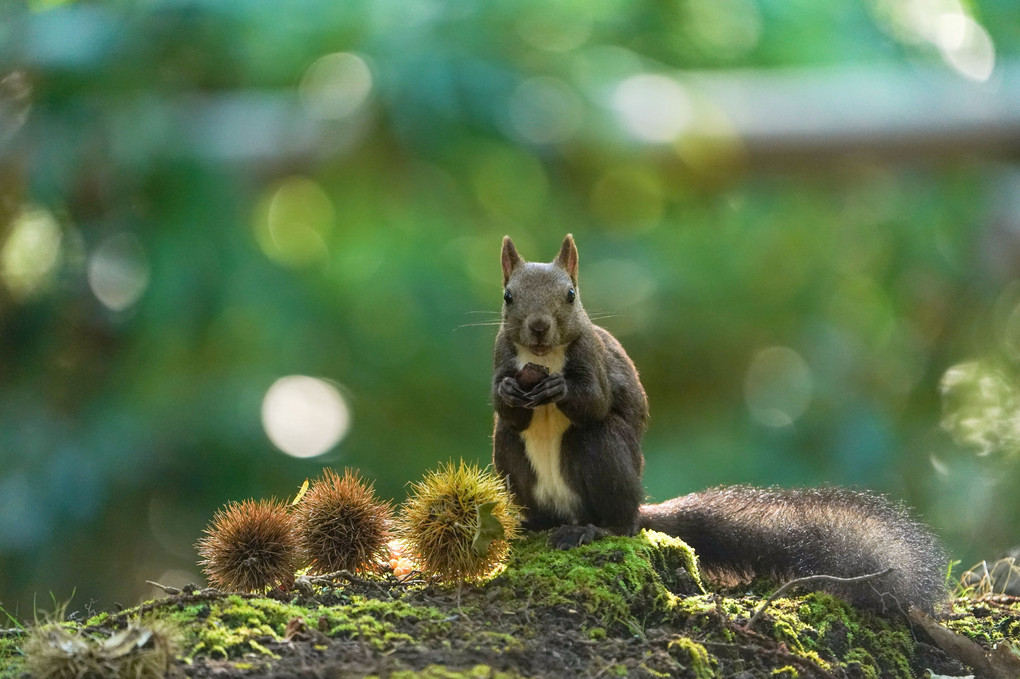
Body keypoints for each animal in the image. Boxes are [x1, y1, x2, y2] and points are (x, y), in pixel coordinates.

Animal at [493, 234, 946, 611]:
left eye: (571, 295)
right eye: (508, 296)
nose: (538, 327)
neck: (544, 359)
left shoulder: (593, 358)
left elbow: (595, 401)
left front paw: (560, 389)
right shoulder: (501, 359)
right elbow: (504, 406)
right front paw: (509, 392)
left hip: (601, 452)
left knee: (623, 518)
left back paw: (593, 530)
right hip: (508, 456)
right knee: (515, 449)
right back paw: (527, 526)